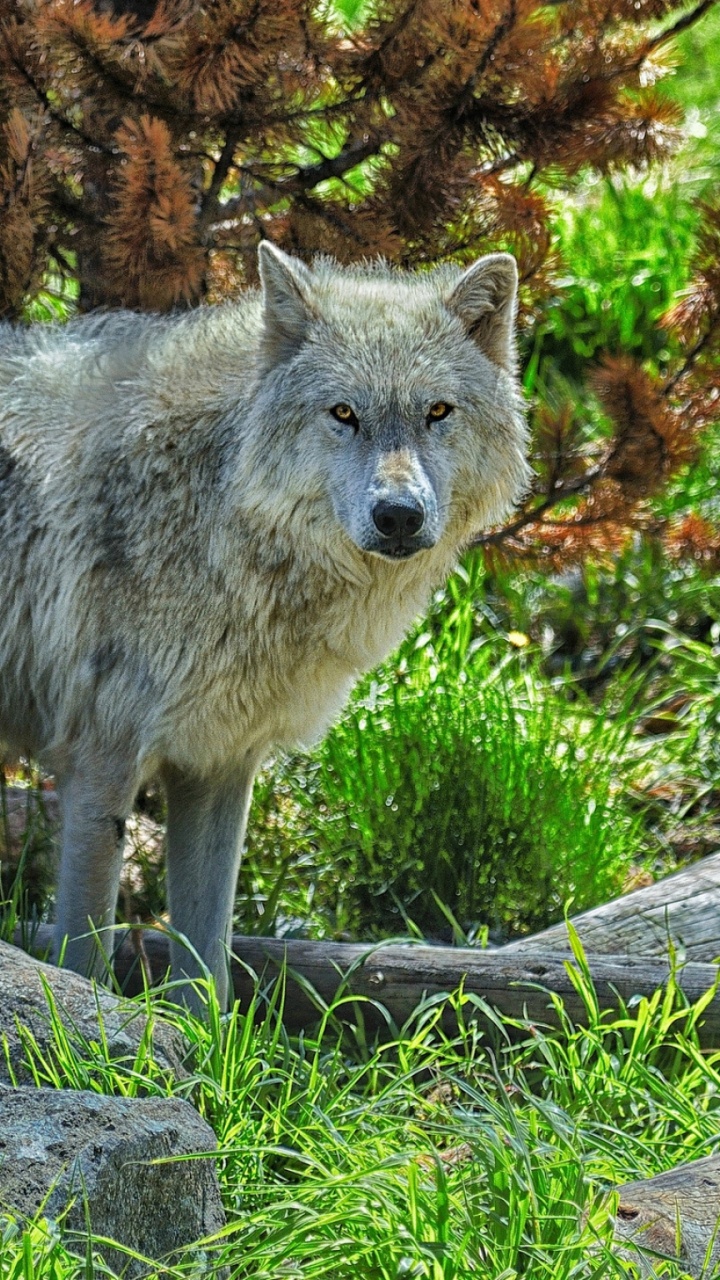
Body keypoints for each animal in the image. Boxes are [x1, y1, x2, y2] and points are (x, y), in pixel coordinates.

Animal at [0, 243, 529, 1008]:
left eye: (437, 412)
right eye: (343, 413)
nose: (398, 516)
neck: (217, 514)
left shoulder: (217, 763)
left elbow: (208, 964)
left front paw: (198, 1039)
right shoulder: (98, 761)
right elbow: (82, 954)